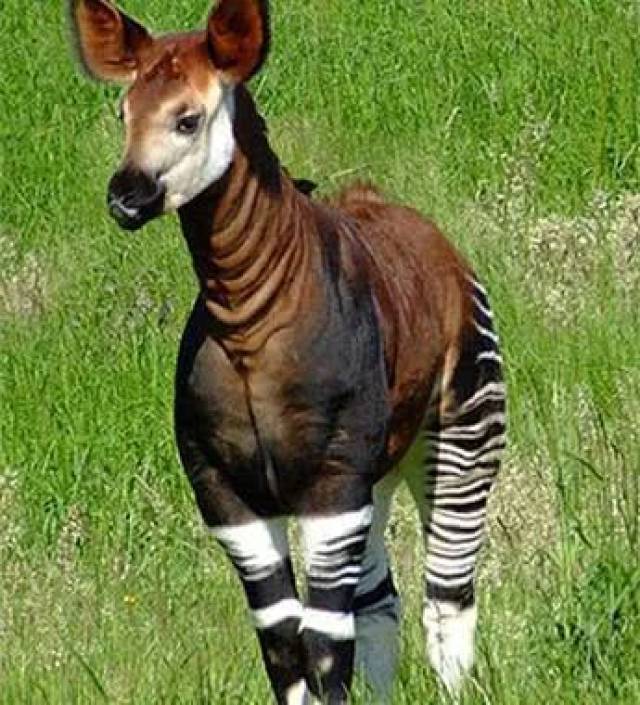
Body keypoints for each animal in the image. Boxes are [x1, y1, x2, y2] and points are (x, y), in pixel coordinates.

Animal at [68, 1, 506, 703]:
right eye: (123, 114)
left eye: (187, 119)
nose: (125, 198)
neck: (246, 319)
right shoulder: (228, 495)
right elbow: (284, 646)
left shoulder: (332, 486)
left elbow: (323, 648)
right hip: (377, 473)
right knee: (380, 602)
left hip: (462, 431)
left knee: (448, 594)